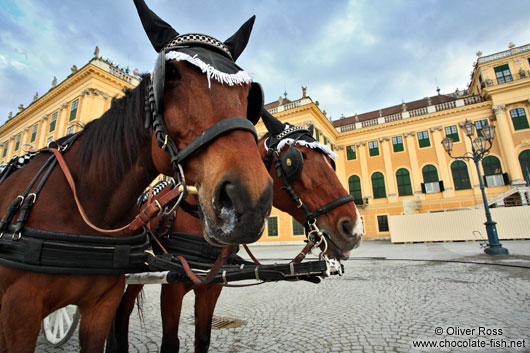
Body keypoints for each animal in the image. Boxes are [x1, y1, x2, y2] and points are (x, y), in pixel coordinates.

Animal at [0, 1, 272, 350]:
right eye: (171, 75)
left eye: (250, 94)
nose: (247, 199)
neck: (89, 205)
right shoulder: (19, 312)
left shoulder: (113, 302)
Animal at [110, 110, 358, 352]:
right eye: (294, 160)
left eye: (331, 162)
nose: (353, 227)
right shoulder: (171, 288)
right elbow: (170, 343)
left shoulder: (212, 287)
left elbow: (202, 338)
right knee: (122, 311)